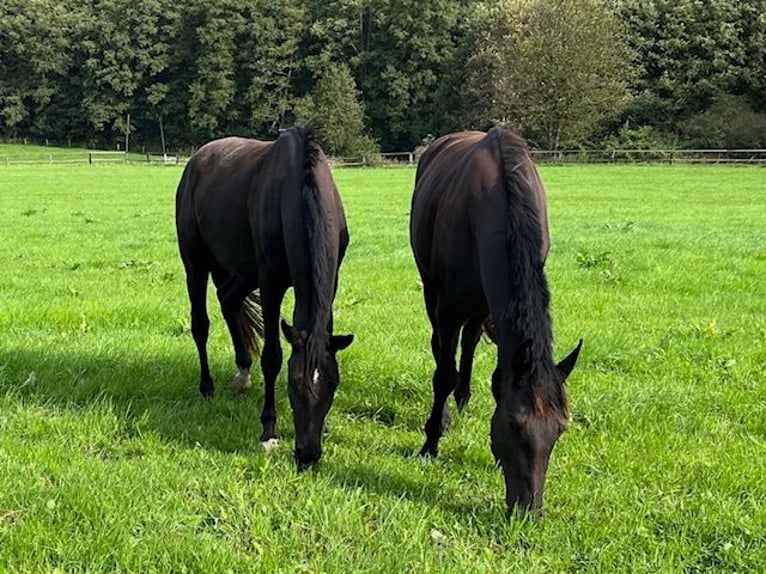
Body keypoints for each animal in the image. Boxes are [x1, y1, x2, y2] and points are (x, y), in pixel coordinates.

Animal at [176, 124, 354, 470]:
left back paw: (243, 372)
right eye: (293, 385)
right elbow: (272, 358)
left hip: (239, 270)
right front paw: (269, 430)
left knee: (228, 300)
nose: (307, 455)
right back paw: (207, 387)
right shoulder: (271, 283)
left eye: (332, 384)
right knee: (201, 323)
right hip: (197, 262)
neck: (298, 188)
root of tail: (197, 160)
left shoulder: (332, 281)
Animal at [414, 128, 584, 516]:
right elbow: (442, 373)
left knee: (470, 340)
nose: (528, 511)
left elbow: (495, 372)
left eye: (560, 430)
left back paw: (463, 397)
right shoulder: (448, 307)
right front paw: (431, 441)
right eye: (513, 425)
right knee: (440, 347)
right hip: (431, 287)